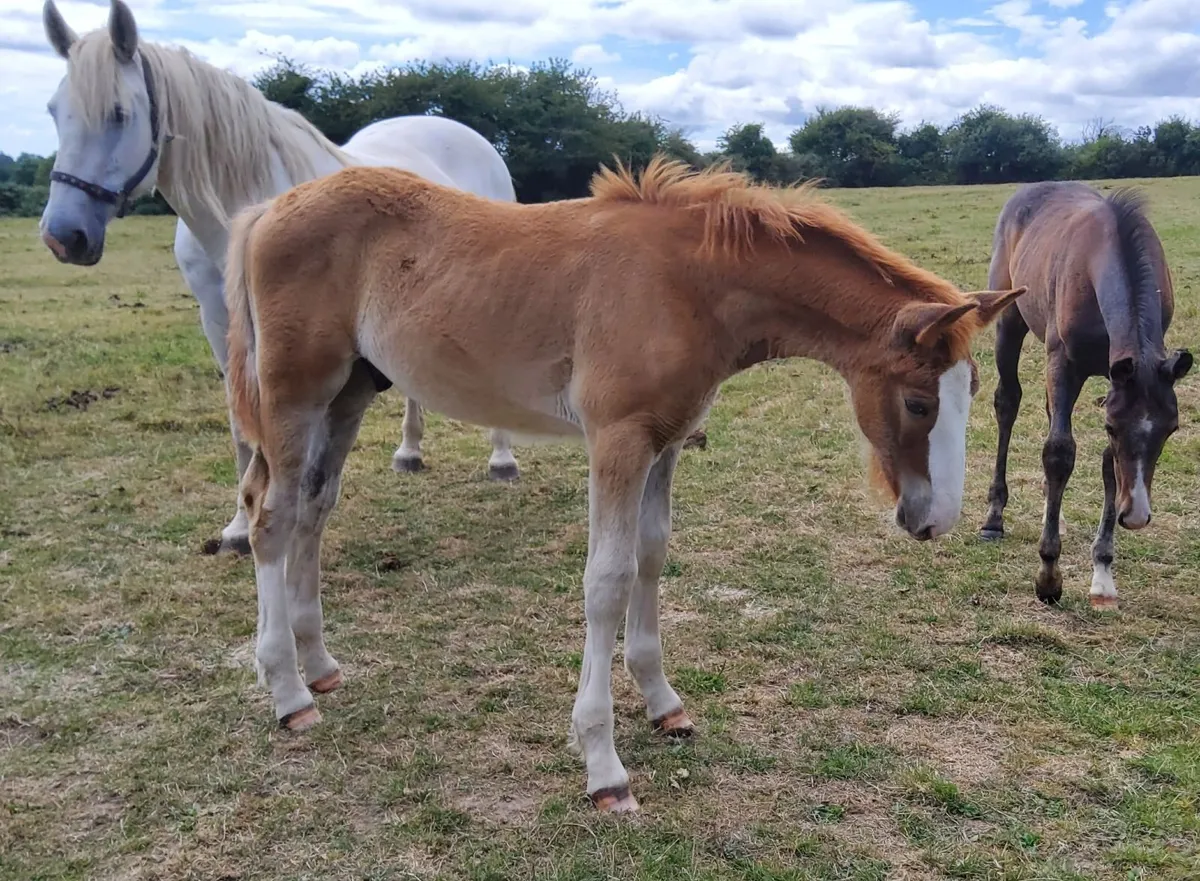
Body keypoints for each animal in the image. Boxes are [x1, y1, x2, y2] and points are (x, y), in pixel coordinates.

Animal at [36, 0, 524, 556]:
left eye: (119, 113)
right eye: (54, 111)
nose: (64, 236)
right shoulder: (219, 323)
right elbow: (241, 426)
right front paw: (236, 530)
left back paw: (502, 459)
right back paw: (409, 452)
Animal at [220, 155, 1027, 812]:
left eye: (973, 390)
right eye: (919, 403)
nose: (934, 519)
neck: (687, 285)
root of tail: (268, 208)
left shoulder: (663, 444)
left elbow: (651, 554)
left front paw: (664, 702)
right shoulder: (617, 440)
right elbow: (605, 579)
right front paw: (603, 765)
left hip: (351, 392)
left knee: (314, 509)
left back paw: (319, 665)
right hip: (295, 396)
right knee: (270, 516)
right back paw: (287, 691)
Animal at [978, 181, 1192, 609]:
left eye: (1172, 429)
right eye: (1111, 427)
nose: (1137, 516)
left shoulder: (1116, 377)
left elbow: (1109, 465)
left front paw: (1103, 574)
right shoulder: (1063, 361)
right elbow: (1059, 452)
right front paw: (1048, 577)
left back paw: (1053, 513)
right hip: (1009, 320)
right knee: (1007, 402)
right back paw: (994, 518)